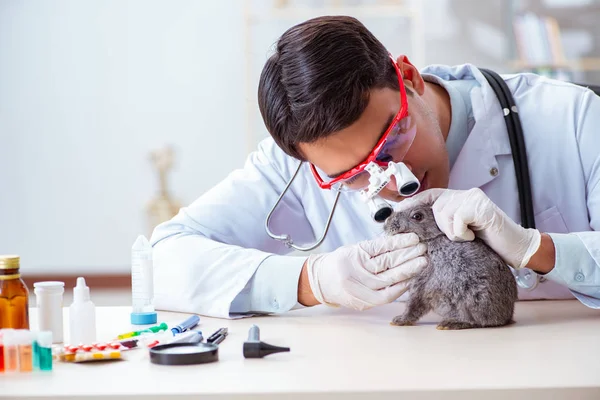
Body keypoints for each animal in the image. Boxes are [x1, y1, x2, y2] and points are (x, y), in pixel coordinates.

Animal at [382, 202, 516, 330]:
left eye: (417, 216)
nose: (387, 222)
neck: (431, 239)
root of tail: (507, 316)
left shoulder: (421, 280)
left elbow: (413, 304)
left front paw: (400, 320)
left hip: (471, 298)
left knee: (475, 320)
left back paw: (449, 324)